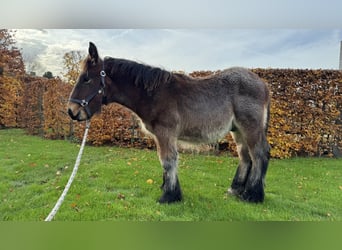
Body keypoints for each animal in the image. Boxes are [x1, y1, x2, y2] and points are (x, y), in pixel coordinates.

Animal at [67, 42, 270, 204]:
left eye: (86, 79)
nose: (71, 111)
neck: (153, 94)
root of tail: (263, 84)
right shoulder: (161, 136)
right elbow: (166, 161)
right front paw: (167, 188)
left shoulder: (165, 133)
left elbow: (167, 160)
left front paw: (169, 196)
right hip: (237, 130)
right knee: (245, 156)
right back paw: (236, 190)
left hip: (250, 127)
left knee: (259, 154)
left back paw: (252, 195)